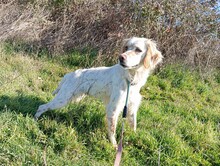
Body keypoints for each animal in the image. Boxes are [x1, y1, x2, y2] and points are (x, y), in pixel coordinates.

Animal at [34, 37, 162, 147]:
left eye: (138, 50)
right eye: (126, 47)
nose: (120, 57)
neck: (130, 80)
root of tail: (69, 74)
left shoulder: (131, 108)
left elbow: (133, 126)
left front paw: (135, 138)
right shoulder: (113, 108)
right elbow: (112, 130)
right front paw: (114, 146)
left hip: (72, 98)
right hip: (62, 99)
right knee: (42, 106)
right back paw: (34, 120)